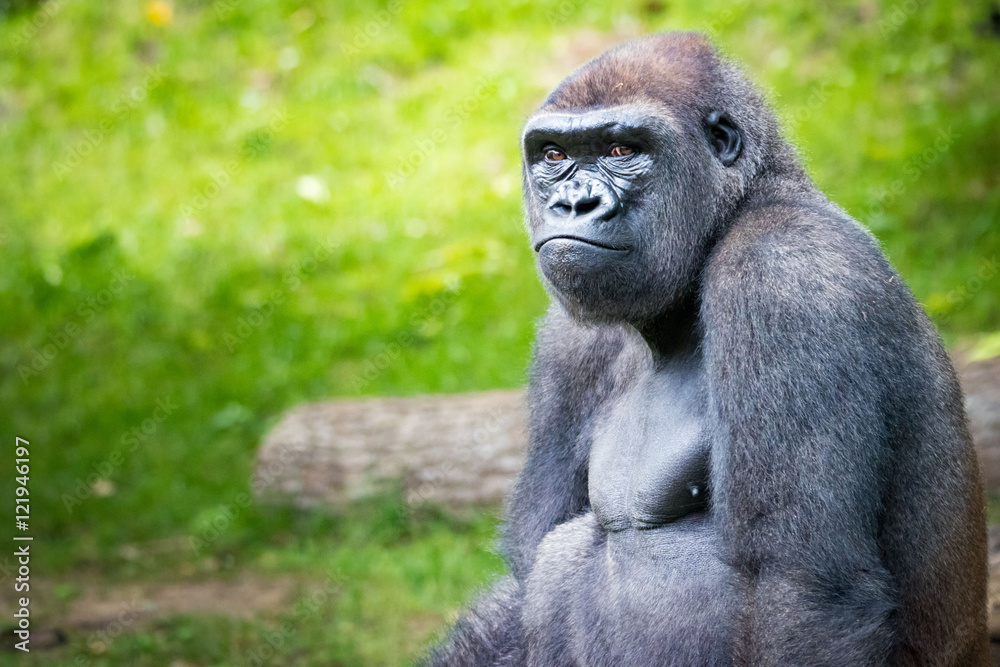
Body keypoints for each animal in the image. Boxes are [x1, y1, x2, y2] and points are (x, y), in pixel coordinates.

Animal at [422, 32, 989, 666]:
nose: (572, 204)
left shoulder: (781, 273)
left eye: (621, 149)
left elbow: (808, 592)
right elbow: (527, 565)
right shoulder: (566, 343)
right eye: (551, 156)